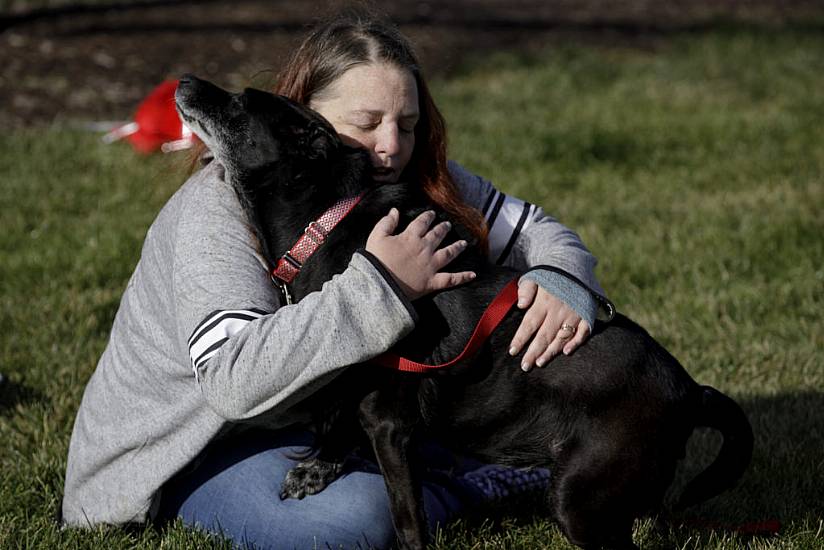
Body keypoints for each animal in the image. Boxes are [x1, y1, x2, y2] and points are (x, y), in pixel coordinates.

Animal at [174, 76, 752, 550]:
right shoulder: (347, 384)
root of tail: (689, 390)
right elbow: (335, 422)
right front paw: (317, 468)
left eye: (241, 103)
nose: (184, 80)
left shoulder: (390, 424)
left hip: (580, 495)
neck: (325, 225)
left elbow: (407, 519)